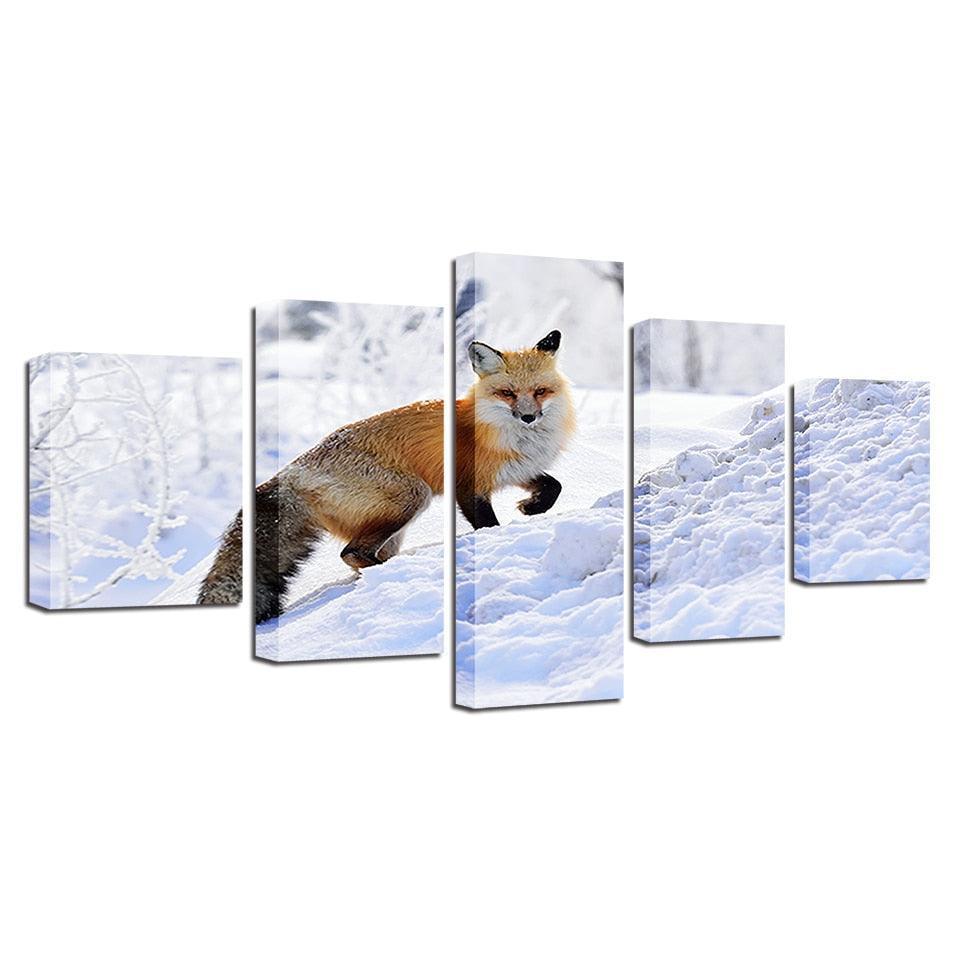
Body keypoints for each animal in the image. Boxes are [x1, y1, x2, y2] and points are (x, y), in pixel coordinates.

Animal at [197, 329, 574, 623]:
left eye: (540, 391)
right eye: (507, 393)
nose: (528, 417)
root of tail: (292, 471)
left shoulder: (516, 470)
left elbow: (554, 486)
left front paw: (531, 507)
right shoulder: (468, 486)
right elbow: (487, 525)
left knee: (357, 556)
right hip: (411, 497)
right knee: (350, 552)